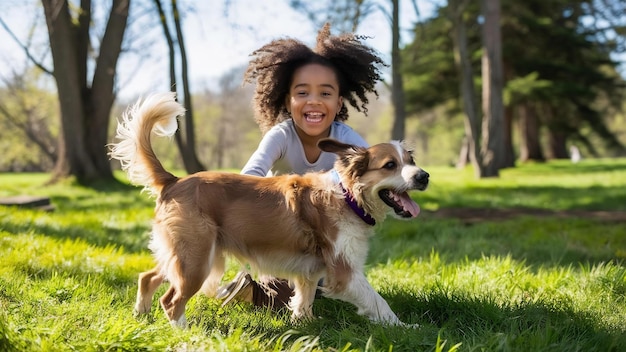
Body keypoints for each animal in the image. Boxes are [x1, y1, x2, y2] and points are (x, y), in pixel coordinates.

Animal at [108, 93, 428, 328]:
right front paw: (403, 327)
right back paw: (183, 333)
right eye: (390, 165)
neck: (348, 196)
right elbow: (378, 301)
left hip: (185, 256)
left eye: (411, 161)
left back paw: (141, 316)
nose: (424, 176)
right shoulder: (345, 272)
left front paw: (304, 323)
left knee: (147, 277)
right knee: (171, 301)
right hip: (196, 261)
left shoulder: (311, 270)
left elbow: (304, 298)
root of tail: (175, 180)